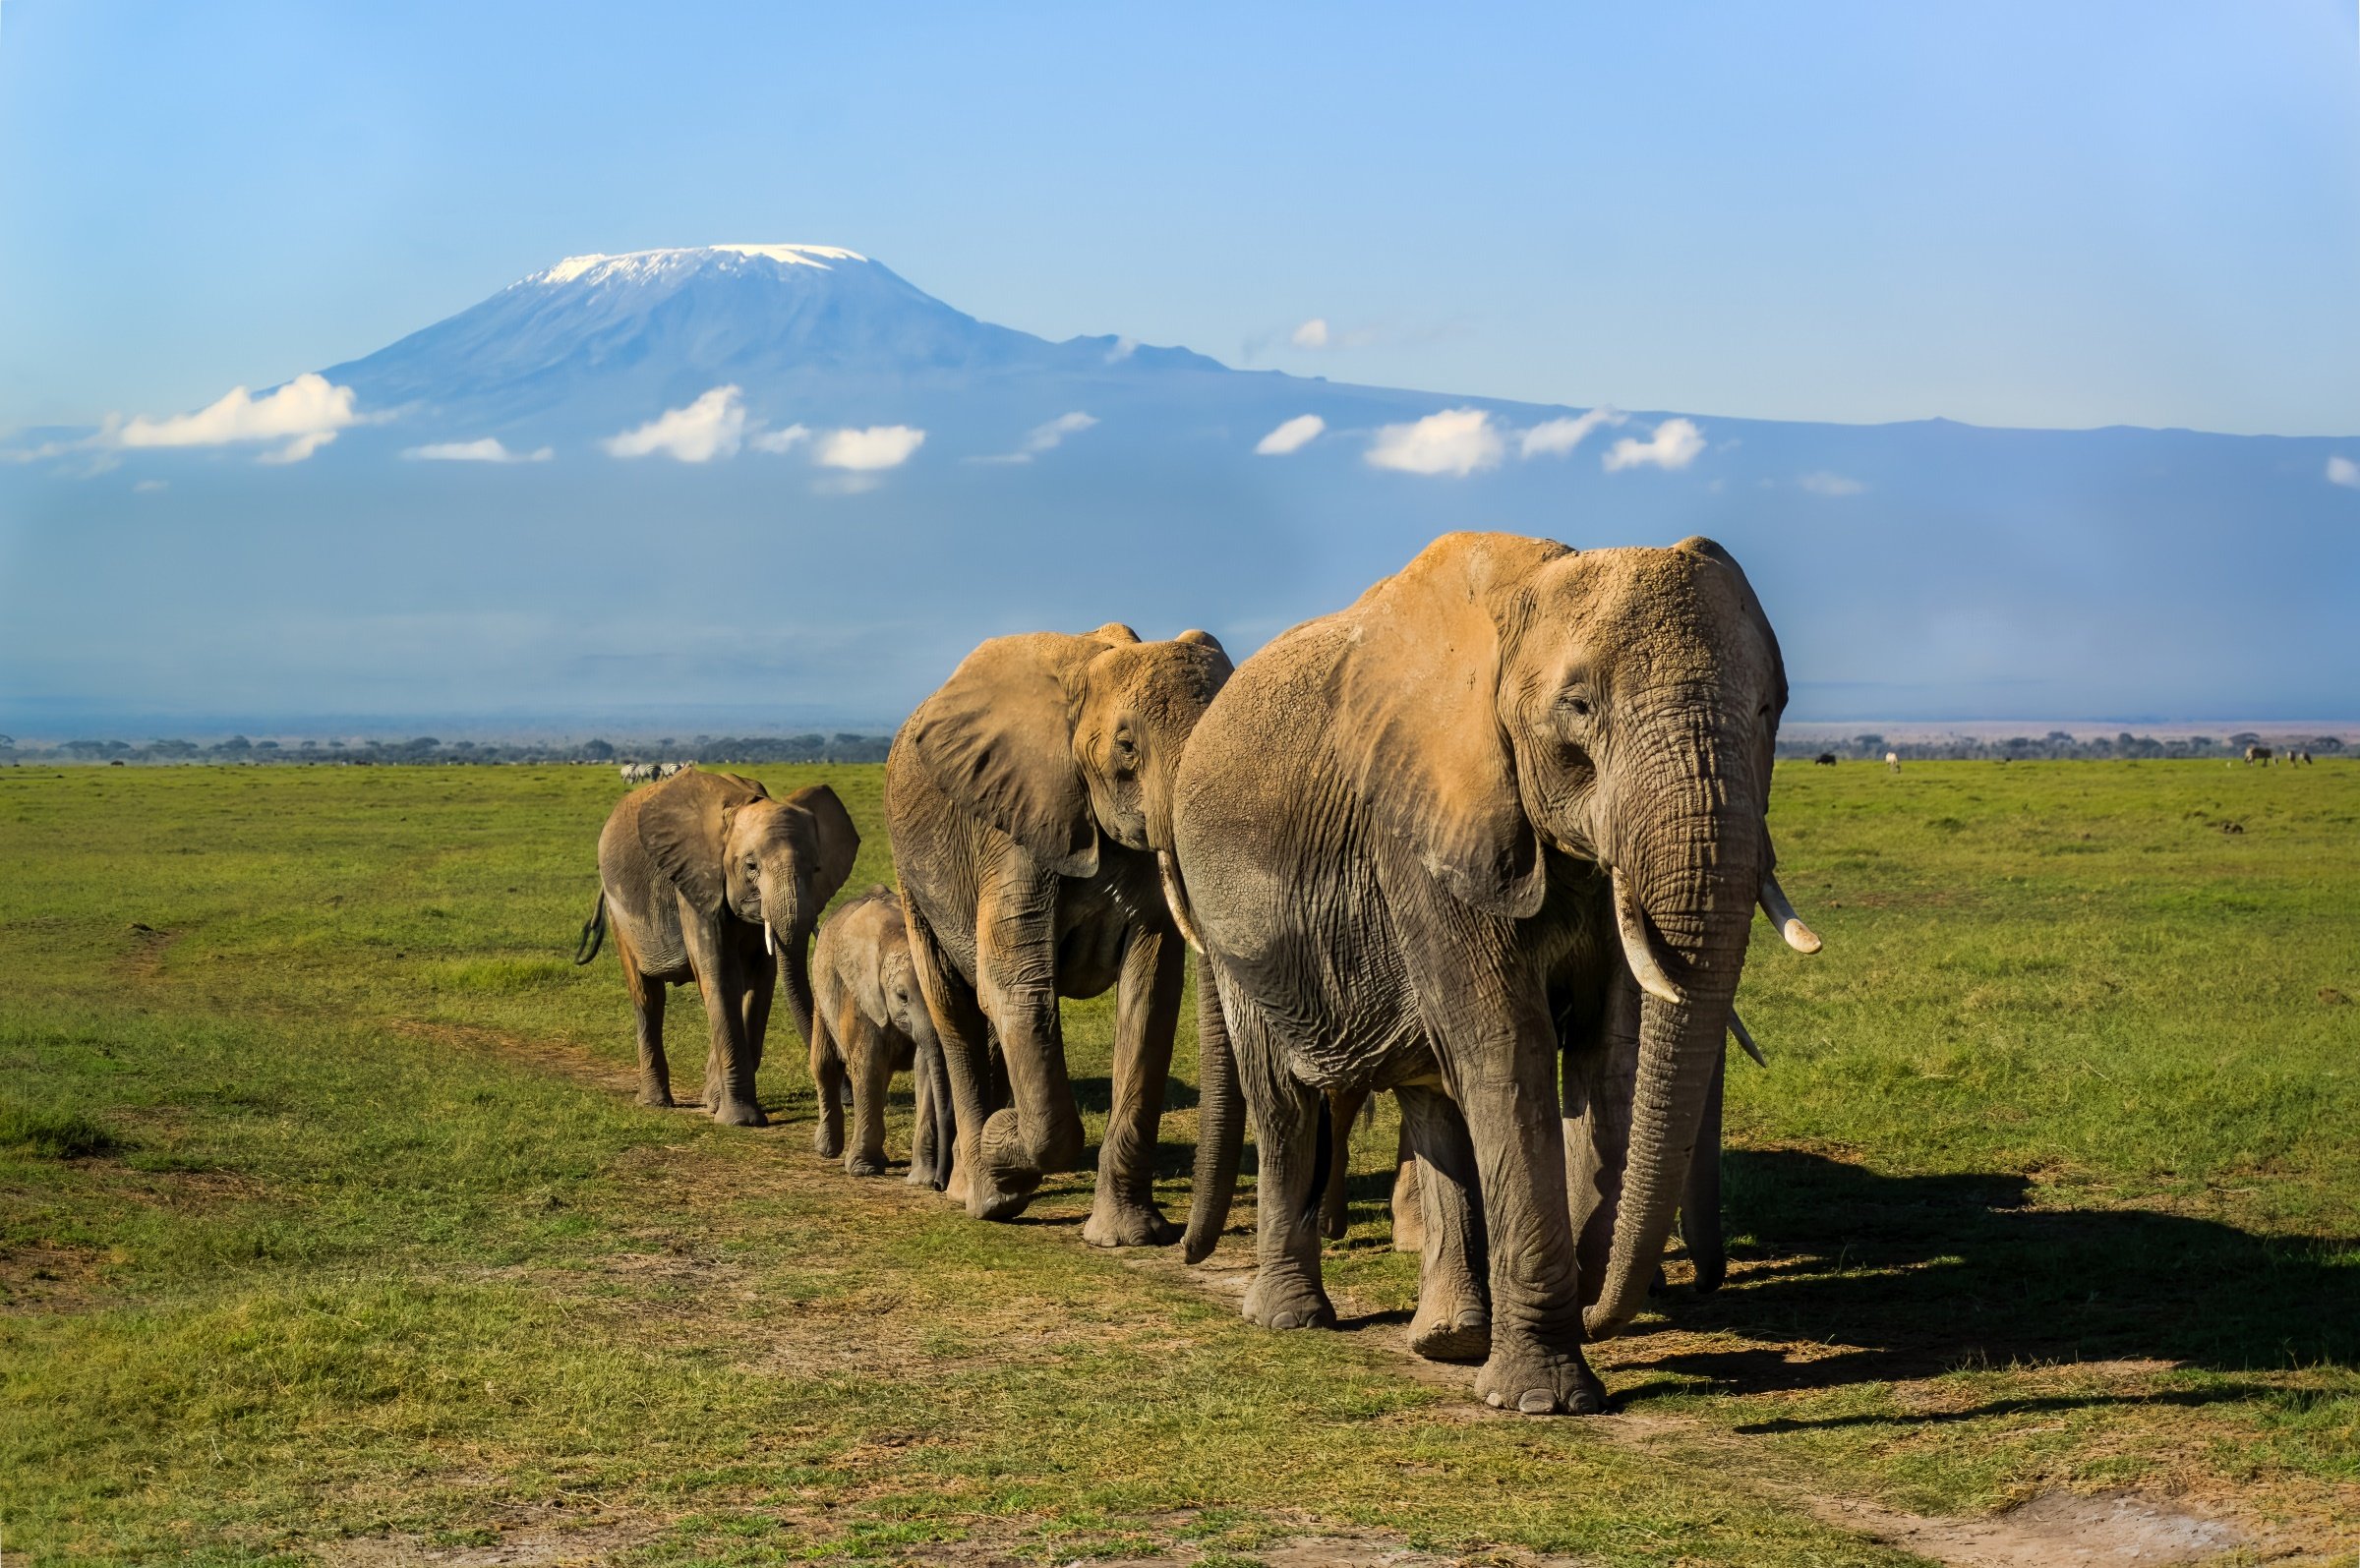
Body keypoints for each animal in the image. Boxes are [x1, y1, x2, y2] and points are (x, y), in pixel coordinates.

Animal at [578, 767, 859, 1124]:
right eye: (751, 866)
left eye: (816, 869)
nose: (848, 1099)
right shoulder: (695, 881)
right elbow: (720, 974)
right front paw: (741, 1120)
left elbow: (760, 980)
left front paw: (718, 1105)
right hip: (619, 912)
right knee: (647, 995)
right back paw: (655, 1102)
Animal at [808, 884, 956, 1185]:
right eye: (902, 996)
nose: (939, 1183)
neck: (896, 937)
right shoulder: (862, 996)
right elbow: (868, 1064)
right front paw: (864, 1170)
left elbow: (924, 1067)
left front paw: (921, 1179)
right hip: (821, 989)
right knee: (825, 1064)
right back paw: (827, 1149)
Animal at [884, 623, 1232, 1243]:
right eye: (1126, 747)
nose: (1188, 1245)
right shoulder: (1013, 826)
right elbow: (1015, 989)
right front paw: (1003, 1163)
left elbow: (1148, 999)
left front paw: (1128, 1237)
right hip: (911, 873)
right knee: (955, 1009)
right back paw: (976, 1192)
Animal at [1168, 533, 1819, 1414]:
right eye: (1578, 707)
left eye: (1769, 710)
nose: (1602, 1306)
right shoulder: (1424, 828)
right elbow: (1507, 1046)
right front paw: (1546, 1399)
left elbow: (1608, 1051)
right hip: (1232, 924)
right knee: (1283, 1098)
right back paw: (1291, 1318)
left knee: (1430, 1089)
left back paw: (1449, 1339)